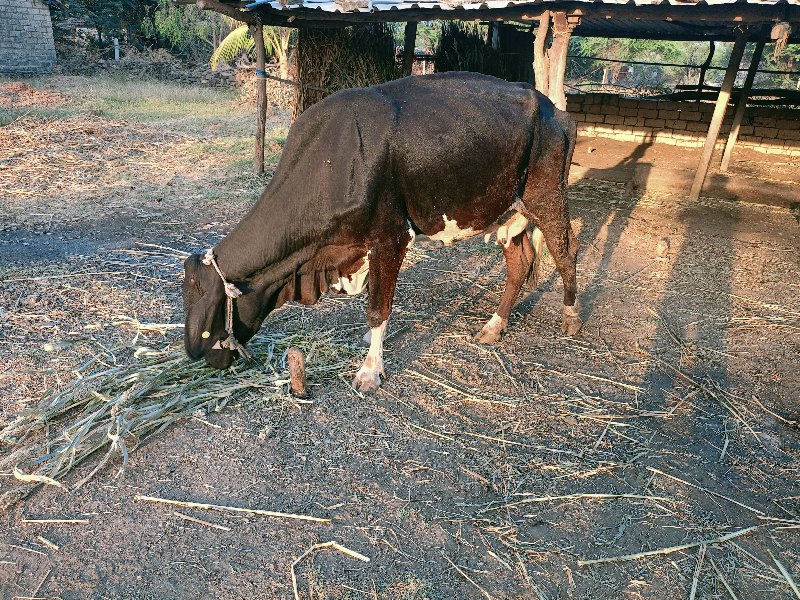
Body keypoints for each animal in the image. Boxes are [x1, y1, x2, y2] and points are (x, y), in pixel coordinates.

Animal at [183, 72, 580, 392]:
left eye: (207, 326)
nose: (203, 357)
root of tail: (554, 109)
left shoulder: (391, 236)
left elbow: (378, 308)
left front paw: (370, 371)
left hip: (547, 196)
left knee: (566, 251)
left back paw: (571, 317)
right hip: (506, 211)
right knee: (519, 262)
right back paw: (495, 326)